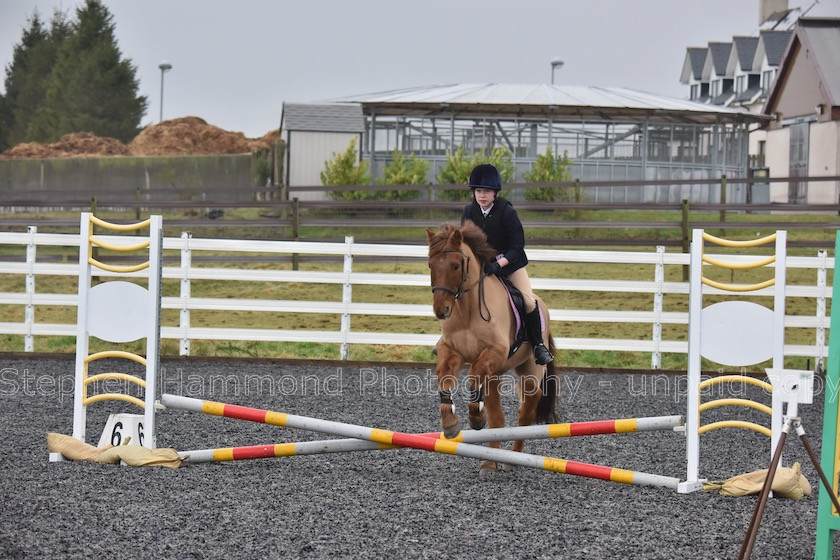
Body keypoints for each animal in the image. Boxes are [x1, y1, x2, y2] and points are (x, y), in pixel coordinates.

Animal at [426, 221, 556, 470]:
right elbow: (445, 377)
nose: (441, 311)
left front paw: (476, 418)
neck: (467, 312)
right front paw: (450, 424)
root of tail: (543, 305)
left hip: (530, 370)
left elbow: (474, 373)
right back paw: (489, 462)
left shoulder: (495, 351)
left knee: (527, 408)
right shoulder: (452, 351)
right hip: (495, 374)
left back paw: (513, 459)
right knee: (498, 418)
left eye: (455, 265)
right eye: (430, 265)